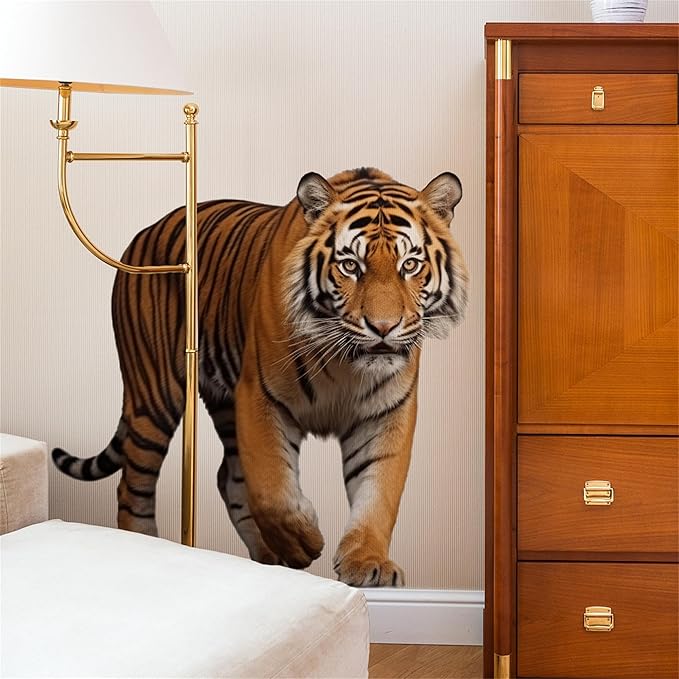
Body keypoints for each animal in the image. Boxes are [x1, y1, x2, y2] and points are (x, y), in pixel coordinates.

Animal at [52, 167, 467, 587]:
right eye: (350, 266)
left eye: (410, 265)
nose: (383, 327)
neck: (346, 363)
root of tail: (143, 232)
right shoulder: (260, 396)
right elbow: (271, 489)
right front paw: (302, 544)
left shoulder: (386, 412)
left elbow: (379, 491)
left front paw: (368, 563)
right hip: (154, 395)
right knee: (133, 487)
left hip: (222, 402)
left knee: (228, 477)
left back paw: (264, 561)